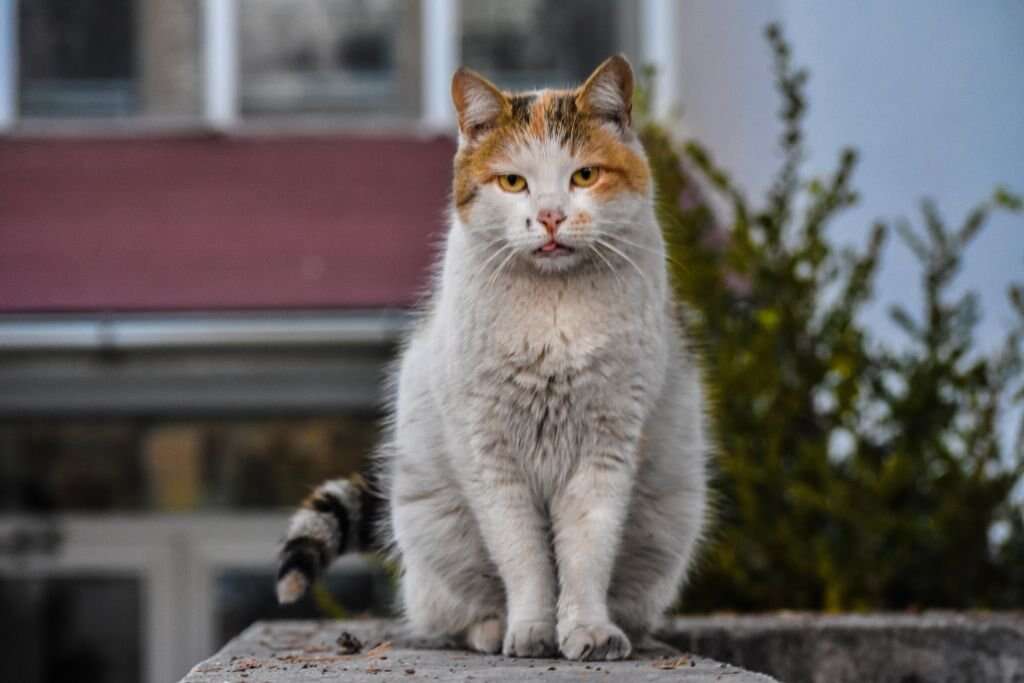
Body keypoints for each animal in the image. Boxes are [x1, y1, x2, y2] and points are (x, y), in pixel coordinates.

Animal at [276, 53, 708, 663]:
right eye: (513, 182)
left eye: (584, 176)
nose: (550, 217)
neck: (554, 310)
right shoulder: (491, 455)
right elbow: (524, 558)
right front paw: (529, 630)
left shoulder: (605, 450)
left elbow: (585, 554)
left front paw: (587, 630)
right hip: (437, 526)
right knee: (451, 613)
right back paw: (488, 630)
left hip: (666, 523)